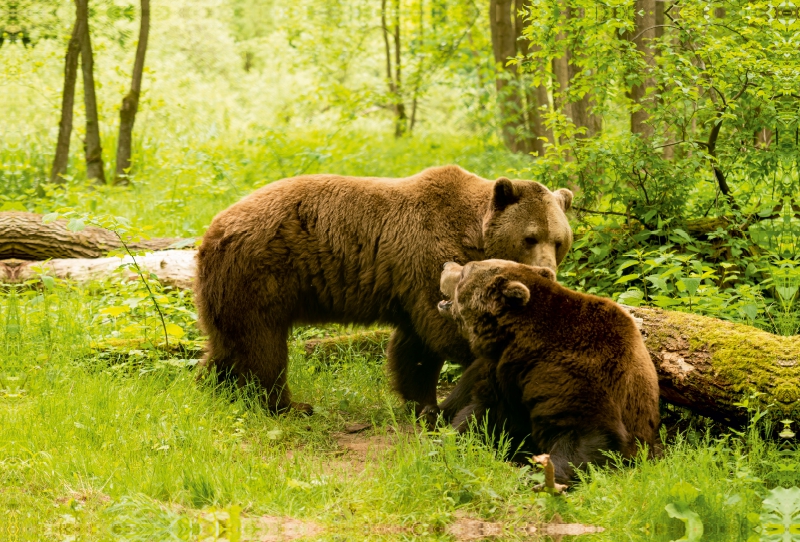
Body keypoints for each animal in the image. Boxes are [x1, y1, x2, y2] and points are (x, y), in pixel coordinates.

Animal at [197, 165, 580, 412]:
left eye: (559, 240)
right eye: (530, 237)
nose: (547, 270)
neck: (473, 234)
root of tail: (213, 229)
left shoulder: (409, 284)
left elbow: (414, 348)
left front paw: (421, 401)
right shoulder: (429, 255)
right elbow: (443, 331)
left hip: (228, 286)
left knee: (228, 343)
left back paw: (212, 385)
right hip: (263, 273)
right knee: (262, 345)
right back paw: (286, 404)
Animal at [434, 260, 660, 484]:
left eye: (465, 271)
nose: (446, 265)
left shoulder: (581, 372)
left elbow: (585, 432)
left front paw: (541, 475)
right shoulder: (504, 375)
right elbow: (479, 414)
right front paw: (449, 442)